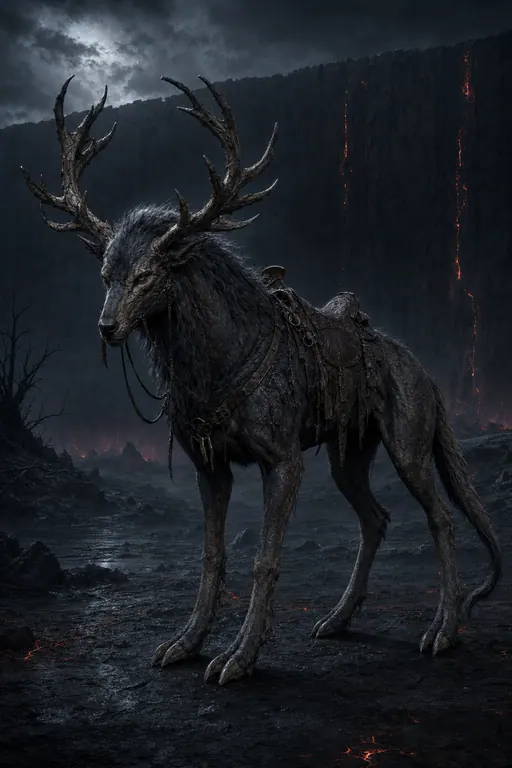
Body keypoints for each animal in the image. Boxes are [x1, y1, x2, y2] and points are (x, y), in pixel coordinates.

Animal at [21, 75, 501, 685]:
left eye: (146, 274)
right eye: (106, 274)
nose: (107, 328)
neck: (221, 360)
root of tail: (425, 373)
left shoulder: (284, 462)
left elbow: (264, 559)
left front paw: (239, 657)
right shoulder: (210, 467)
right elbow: (212, 556)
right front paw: (185, 642)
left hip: (409, 447)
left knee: (441, 518)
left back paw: (444, 630)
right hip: (348, 457)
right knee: (376, 520)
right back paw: (337, 620)